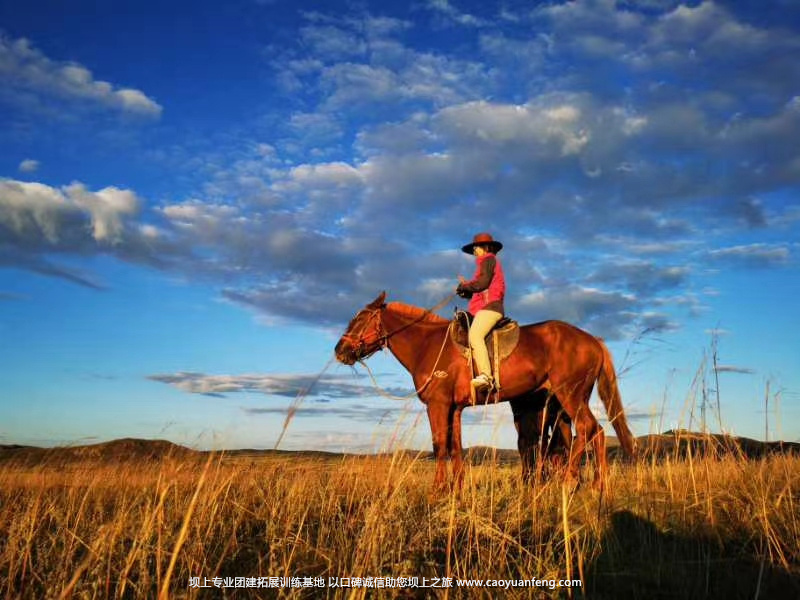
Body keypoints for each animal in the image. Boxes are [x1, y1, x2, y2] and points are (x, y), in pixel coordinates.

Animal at [334, 292, 636, 492]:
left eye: (359, 319)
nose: (339, 350)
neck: (427, 344)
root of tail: (592, 340)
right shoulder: (454, 408)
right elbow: (455, 446)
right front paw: (456, 489)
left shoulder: (437, 405)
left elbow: (439, 445)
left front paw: (438, 489)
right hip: (568, 401)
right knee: (593, 433)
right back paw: (598, 485)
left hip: (570, 395)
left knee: (586, 429)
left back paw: (571, 480)